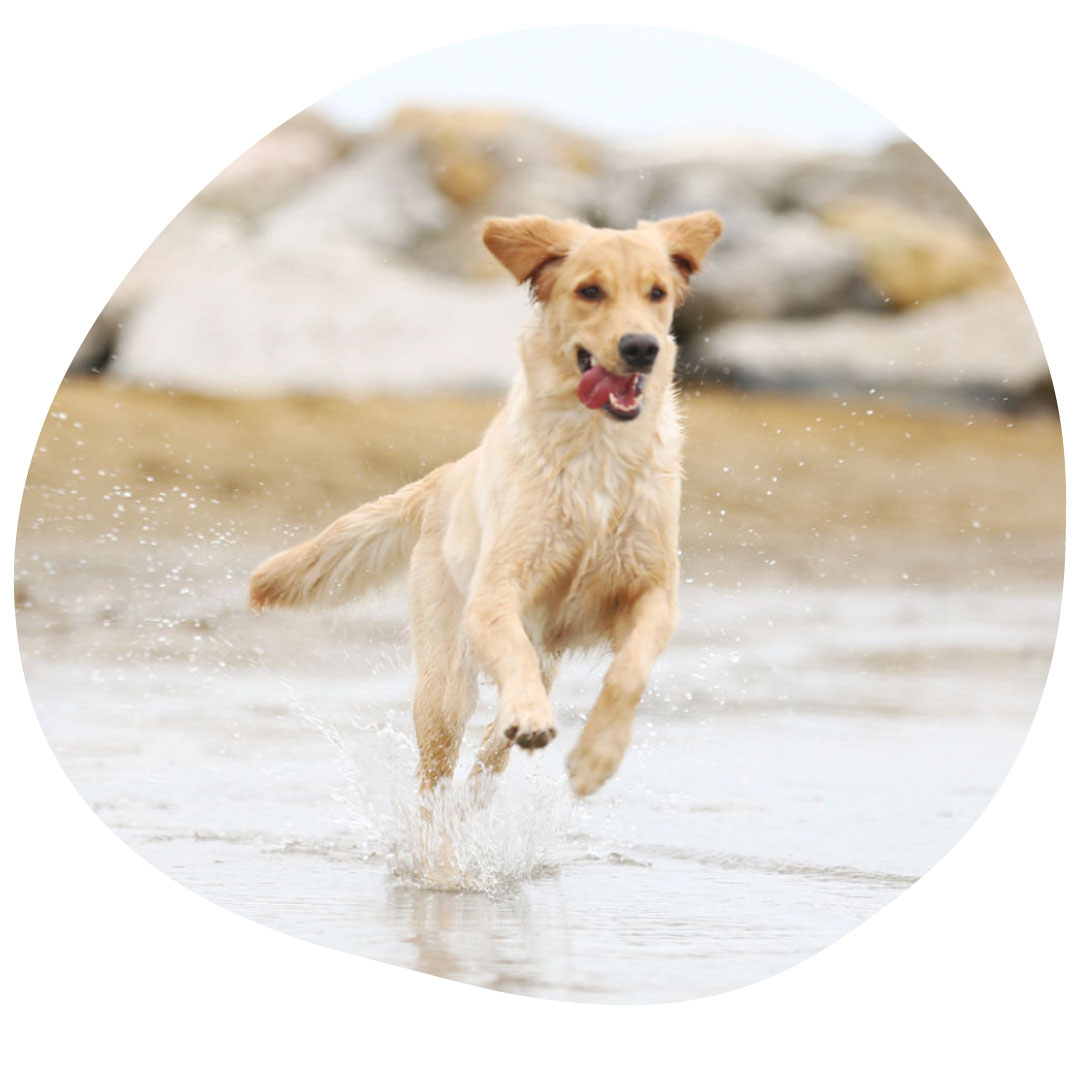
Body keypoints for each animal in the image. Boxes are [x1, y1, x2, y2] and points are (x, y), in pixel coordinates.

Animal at [250, 210, 725, 799]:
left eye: (656, 292)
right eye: (590, 291)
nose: (642, 347)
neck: (597, 453)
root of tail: (447, 474)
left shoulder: (651, 591)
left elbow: (629, 672)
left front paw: (596, 757)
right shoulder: (497, 592)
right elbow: (514, 654)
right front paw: (536, 721)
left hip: (541, 664)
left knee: (488, 757)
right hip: (446, 679)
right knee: (435, 777)